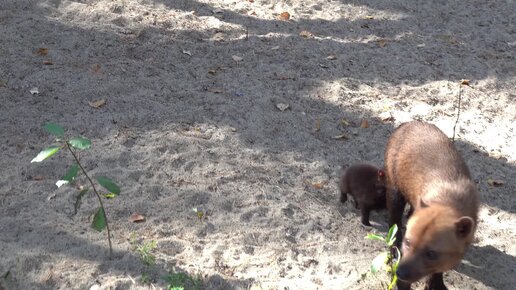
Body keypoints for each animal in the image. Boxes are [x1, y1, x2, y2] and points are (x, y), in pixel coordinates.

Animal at [382, 121, 480, 290]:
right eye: (408, 242)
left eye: (431, 254)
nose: (399, 273)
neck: (448, 199)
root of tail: (407, 123)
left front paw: (436, 284)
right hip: (394, 189)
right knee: (394, 220)